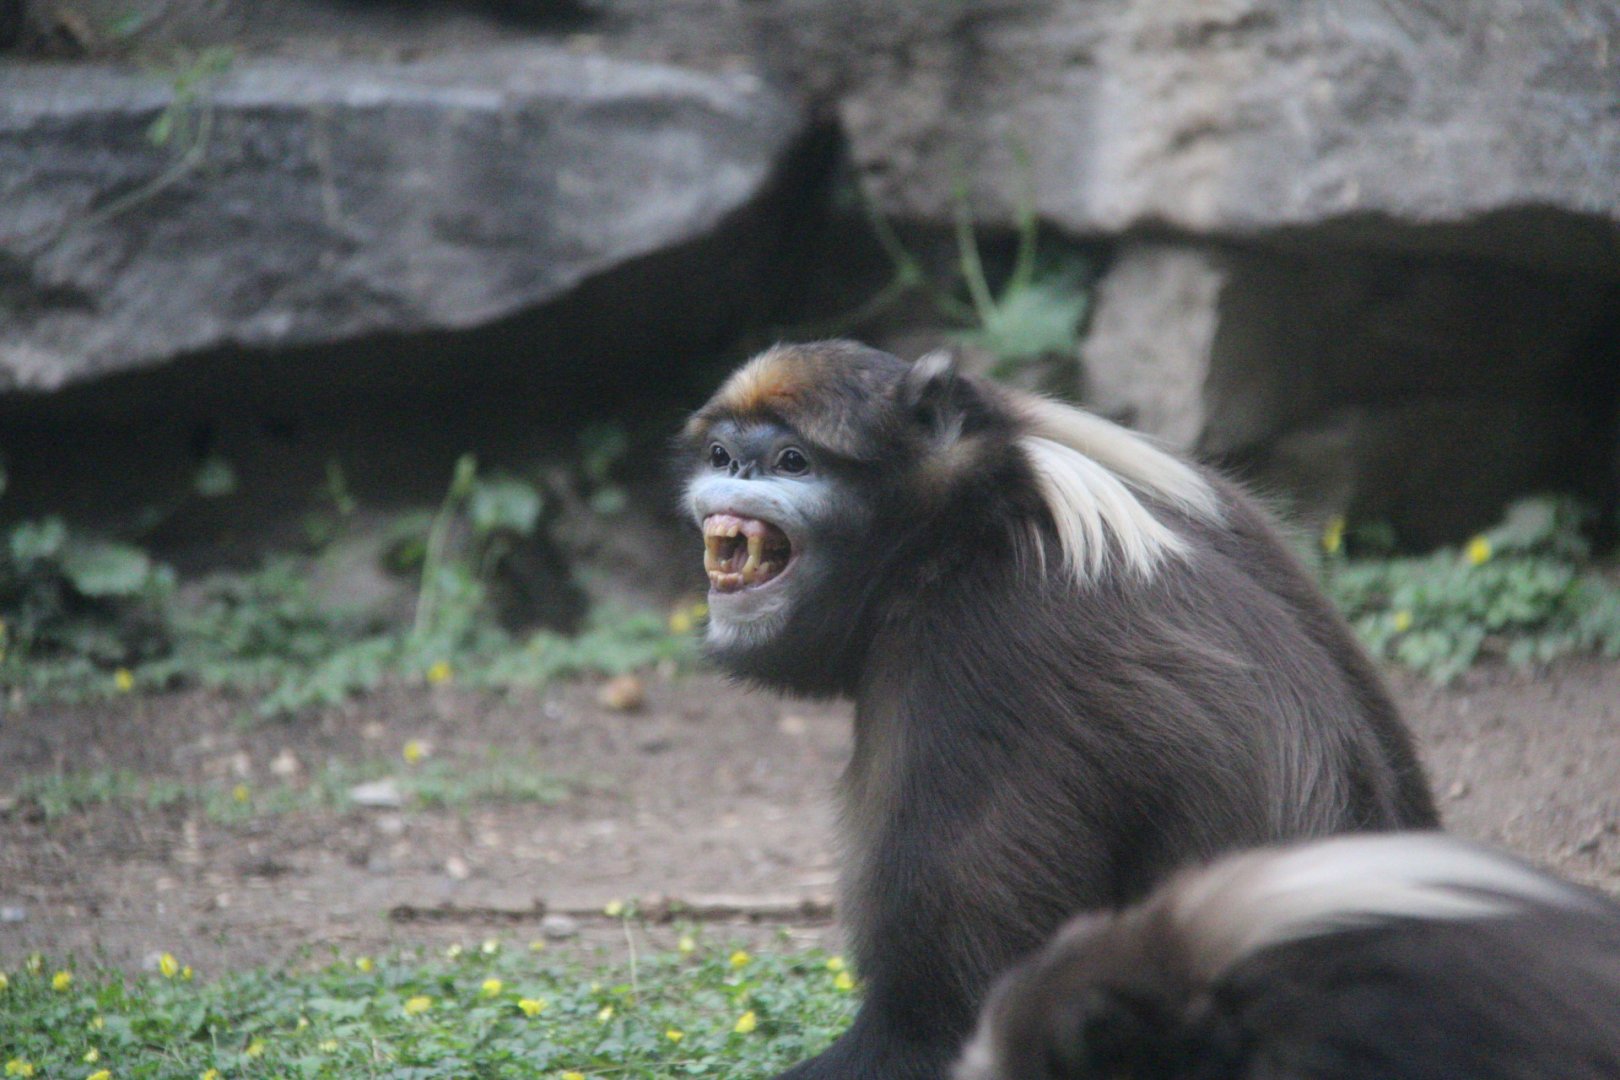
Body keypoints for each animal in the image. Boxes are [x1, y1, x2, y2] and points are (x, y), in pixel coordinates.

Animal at [681, 340, 1438, 1080]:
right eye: (720, 454)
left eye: (791, 461)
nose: (737, 470)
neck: (968, 530)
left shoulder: (982, 657)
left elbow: (939, 1025)